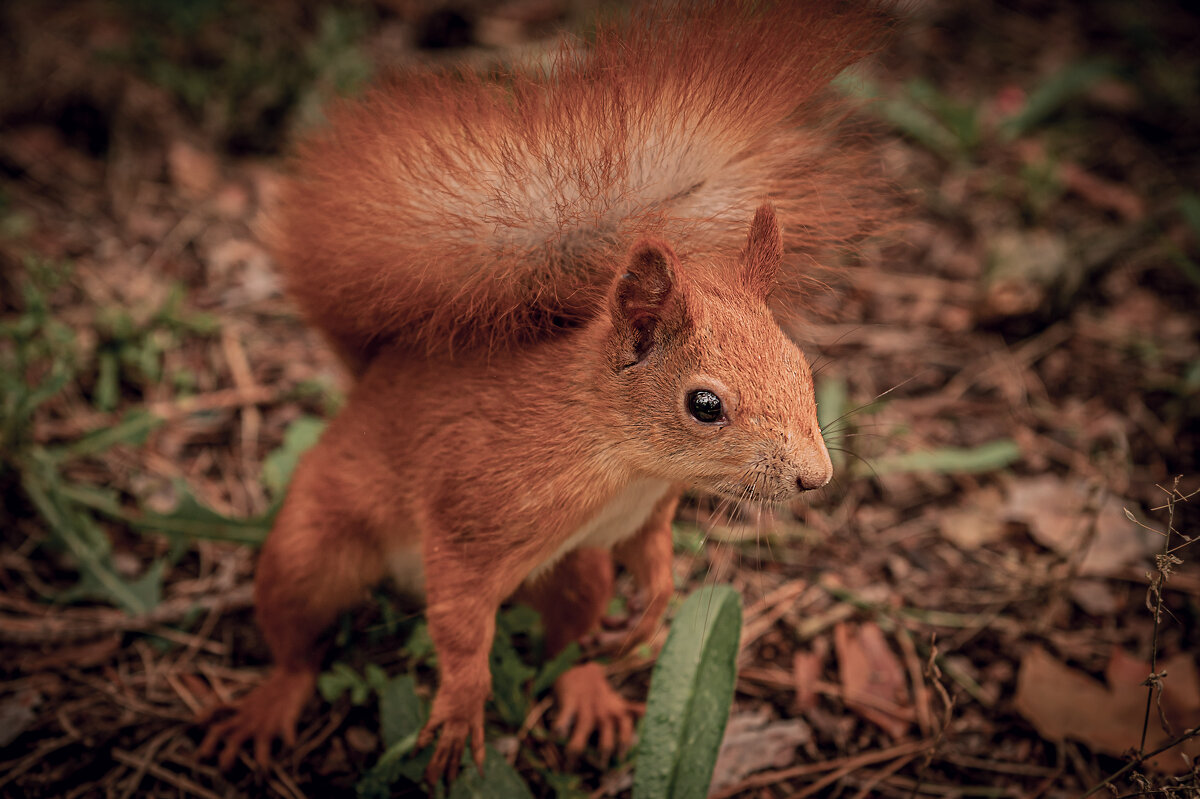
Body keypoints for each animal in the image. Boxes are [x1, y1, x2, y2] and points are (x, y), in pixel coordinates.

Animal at [196, 0, 892, 782]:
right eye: (705, 405)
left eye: (803, 368)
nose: (816, 477)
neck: (621, 462)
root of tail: (373, 379)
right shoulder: (471, 516)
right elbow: (461, 623)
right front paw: (458, 714)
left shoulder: (640, 517)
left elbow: (653, 555)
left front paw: (652, 610)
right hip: (310, 550)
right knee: (297, 638)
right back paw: (269, 704)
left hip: (576, 572)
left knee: (568, 639)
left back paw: (589, 689)